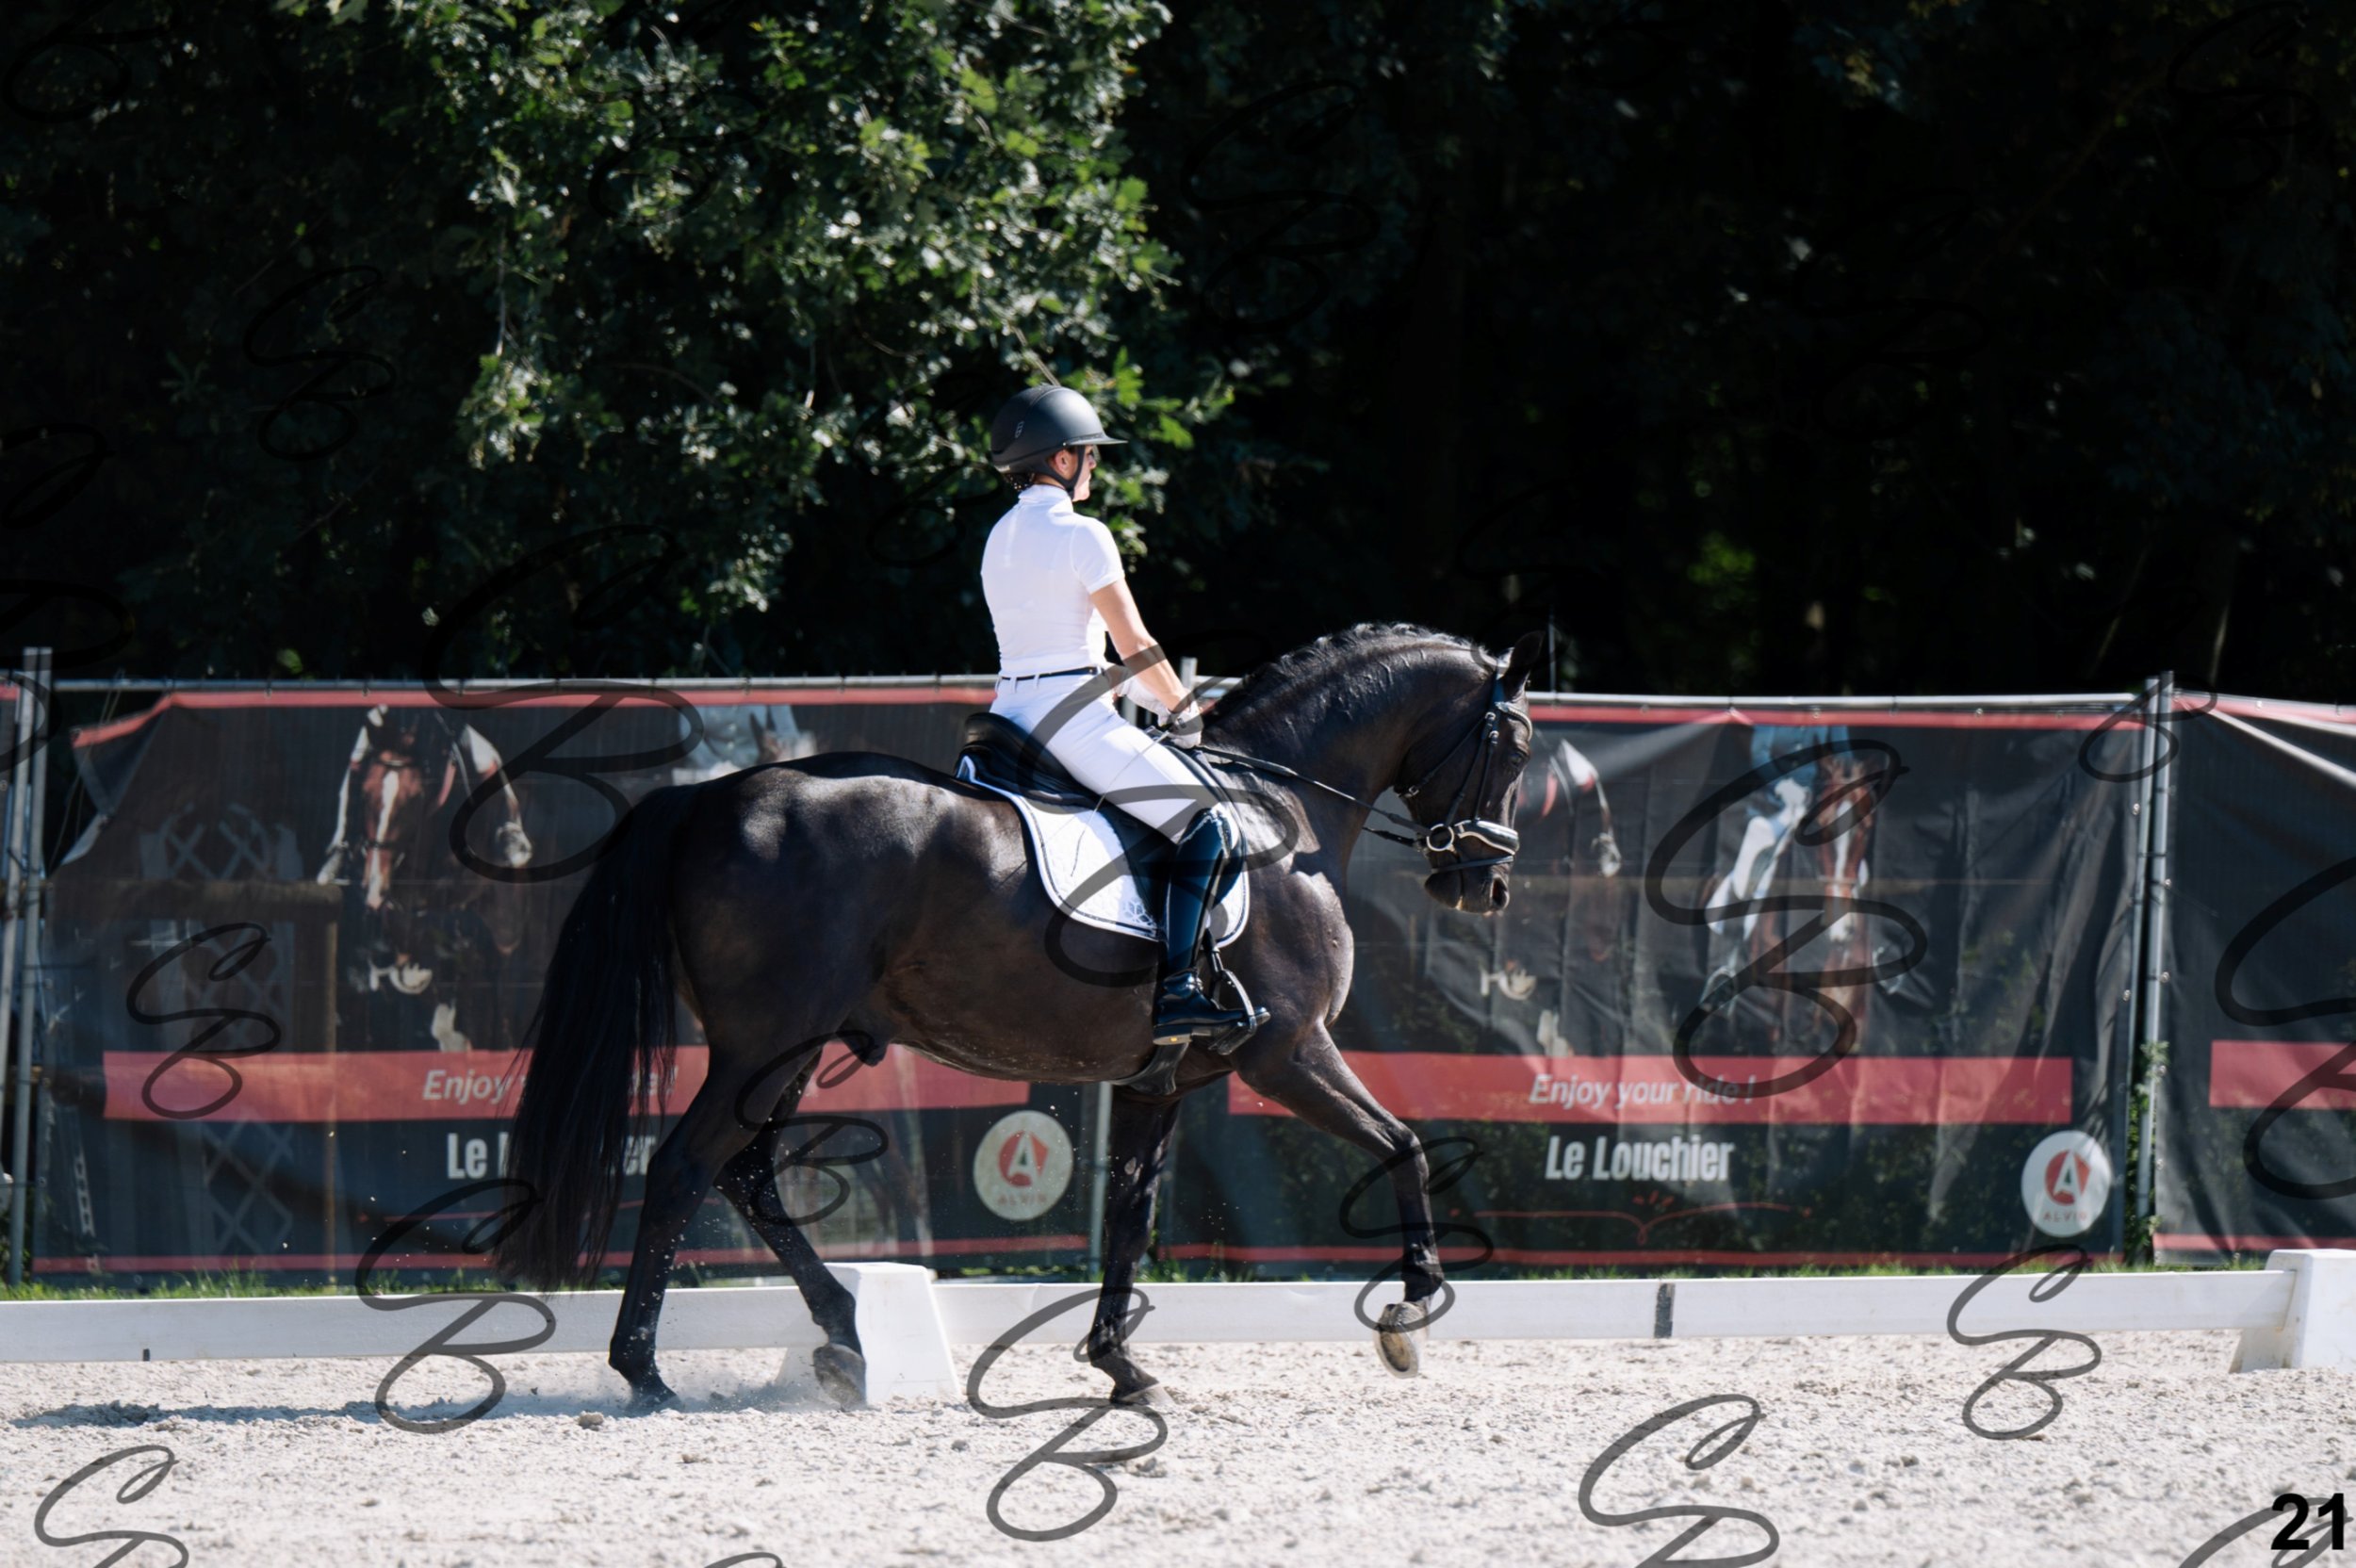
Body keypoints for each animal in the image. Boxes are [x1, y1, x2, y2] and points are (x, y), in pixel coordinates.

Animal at [493, 622, 1546, 1410]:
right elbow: (1402, 1145)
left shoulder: (1164, 1079)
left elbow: (1130, 1211)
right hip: (769, 1043)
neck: (1276, 812)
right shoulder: (1287, 1050)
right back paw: (647, 1373)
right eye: (1519, 745)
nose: (1486, 885)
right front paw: (1410, 1315)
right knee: (683, 1169)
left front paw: (1120, 1365)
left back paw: (844, 1337)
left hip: (787, 1047)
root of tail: (708, 796)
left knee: (747, 1177)